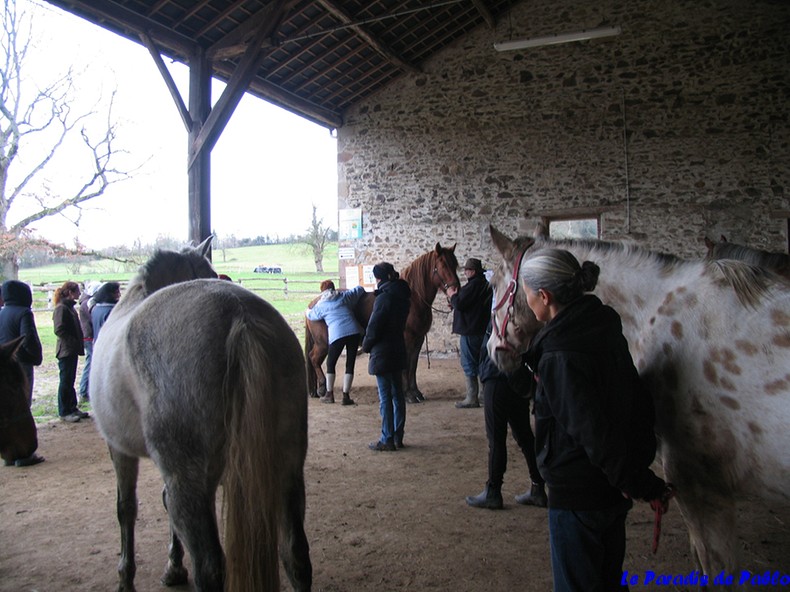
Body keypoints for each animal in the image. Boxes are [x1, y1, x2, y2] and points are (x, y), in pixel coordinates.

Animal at [92, 238, 312, 588]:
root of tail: (239, 315)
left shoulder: (119, 448)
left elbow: (126, 508)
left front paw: (127, 579)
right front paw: (173, 567)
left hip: (189, 479)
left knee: (209, 566)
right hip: (287, 468)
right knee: (296, 555)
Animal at [306, 240, 460, 402]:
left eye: (455, 264)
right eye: (443, 265)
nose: (455, 289)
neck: (414, 299)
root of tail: (312, 304)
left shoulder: (418, 340)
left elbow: (413, 366)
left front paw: (416, 392)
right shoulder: (407, 339)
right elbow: (406, 367)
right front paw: (409, 394)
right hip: (324, 344)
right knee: (314, 358)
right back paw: (322, 388)